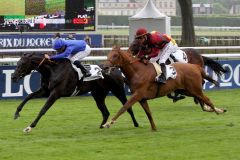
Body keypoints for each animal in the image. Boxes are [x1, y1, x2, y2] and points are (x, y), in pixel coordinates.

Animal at [11, 52, 139, 132]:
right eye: (17, 63)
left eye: (23, 64)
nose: (13, 77)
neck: (53, 70)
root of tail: (116, 70)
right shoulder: (45, 91)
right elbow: (29, 96)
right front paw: (17, 113)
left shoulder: (55, 93)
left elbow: (43, 109)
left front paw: (30, 127)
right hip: (98, 95)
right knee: (105, 112)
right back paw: (102, 126)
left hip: (117, 90)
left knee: (128, 107)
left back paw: (136, 124)